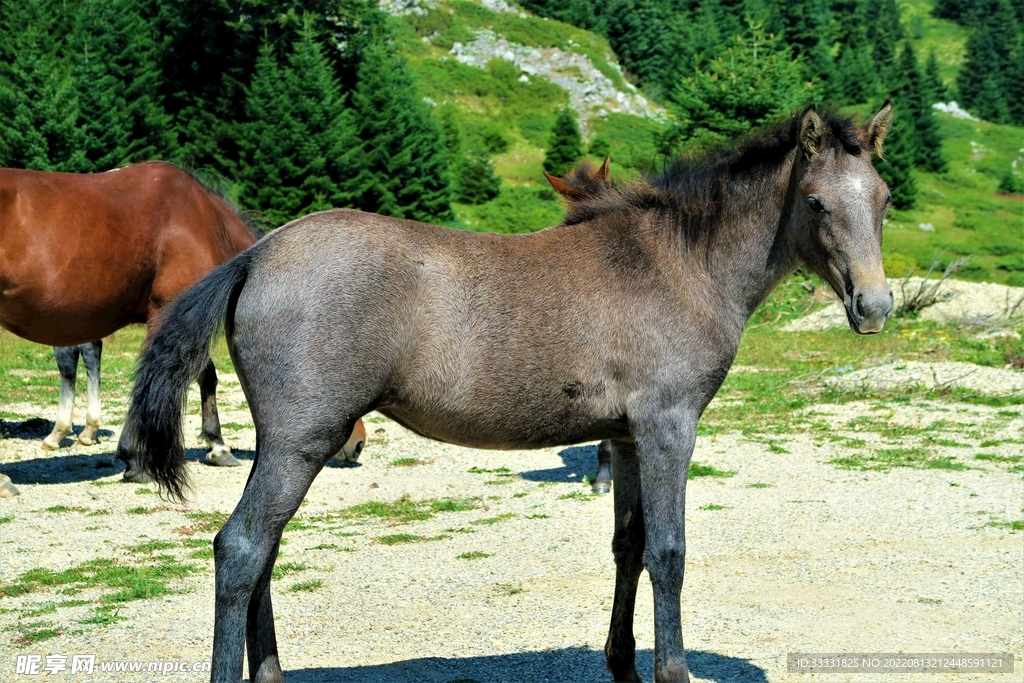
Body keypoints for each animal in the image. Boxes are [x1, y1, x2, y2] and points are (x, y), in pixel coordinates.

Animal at [0, 162, 367, 497]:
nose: (359, 443)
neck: (204, 220)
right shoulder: (169, 313)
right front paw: (139, 458)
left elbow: (205, 376)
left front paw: (214, 444)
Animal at [118, 103, 894, 683]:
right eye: (816, 201)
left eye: (884, 200)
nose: (876, 305)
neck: (676, 263)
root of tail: (254, 256)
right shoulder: (669, 427)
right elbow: (669, 552)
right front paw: (670, 671)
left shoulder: (624, 436)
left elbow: (629, 544)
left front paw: (621, 663)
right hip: (302, 441)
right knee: (242, 548)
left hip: (286, 445)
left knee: (265, 549)